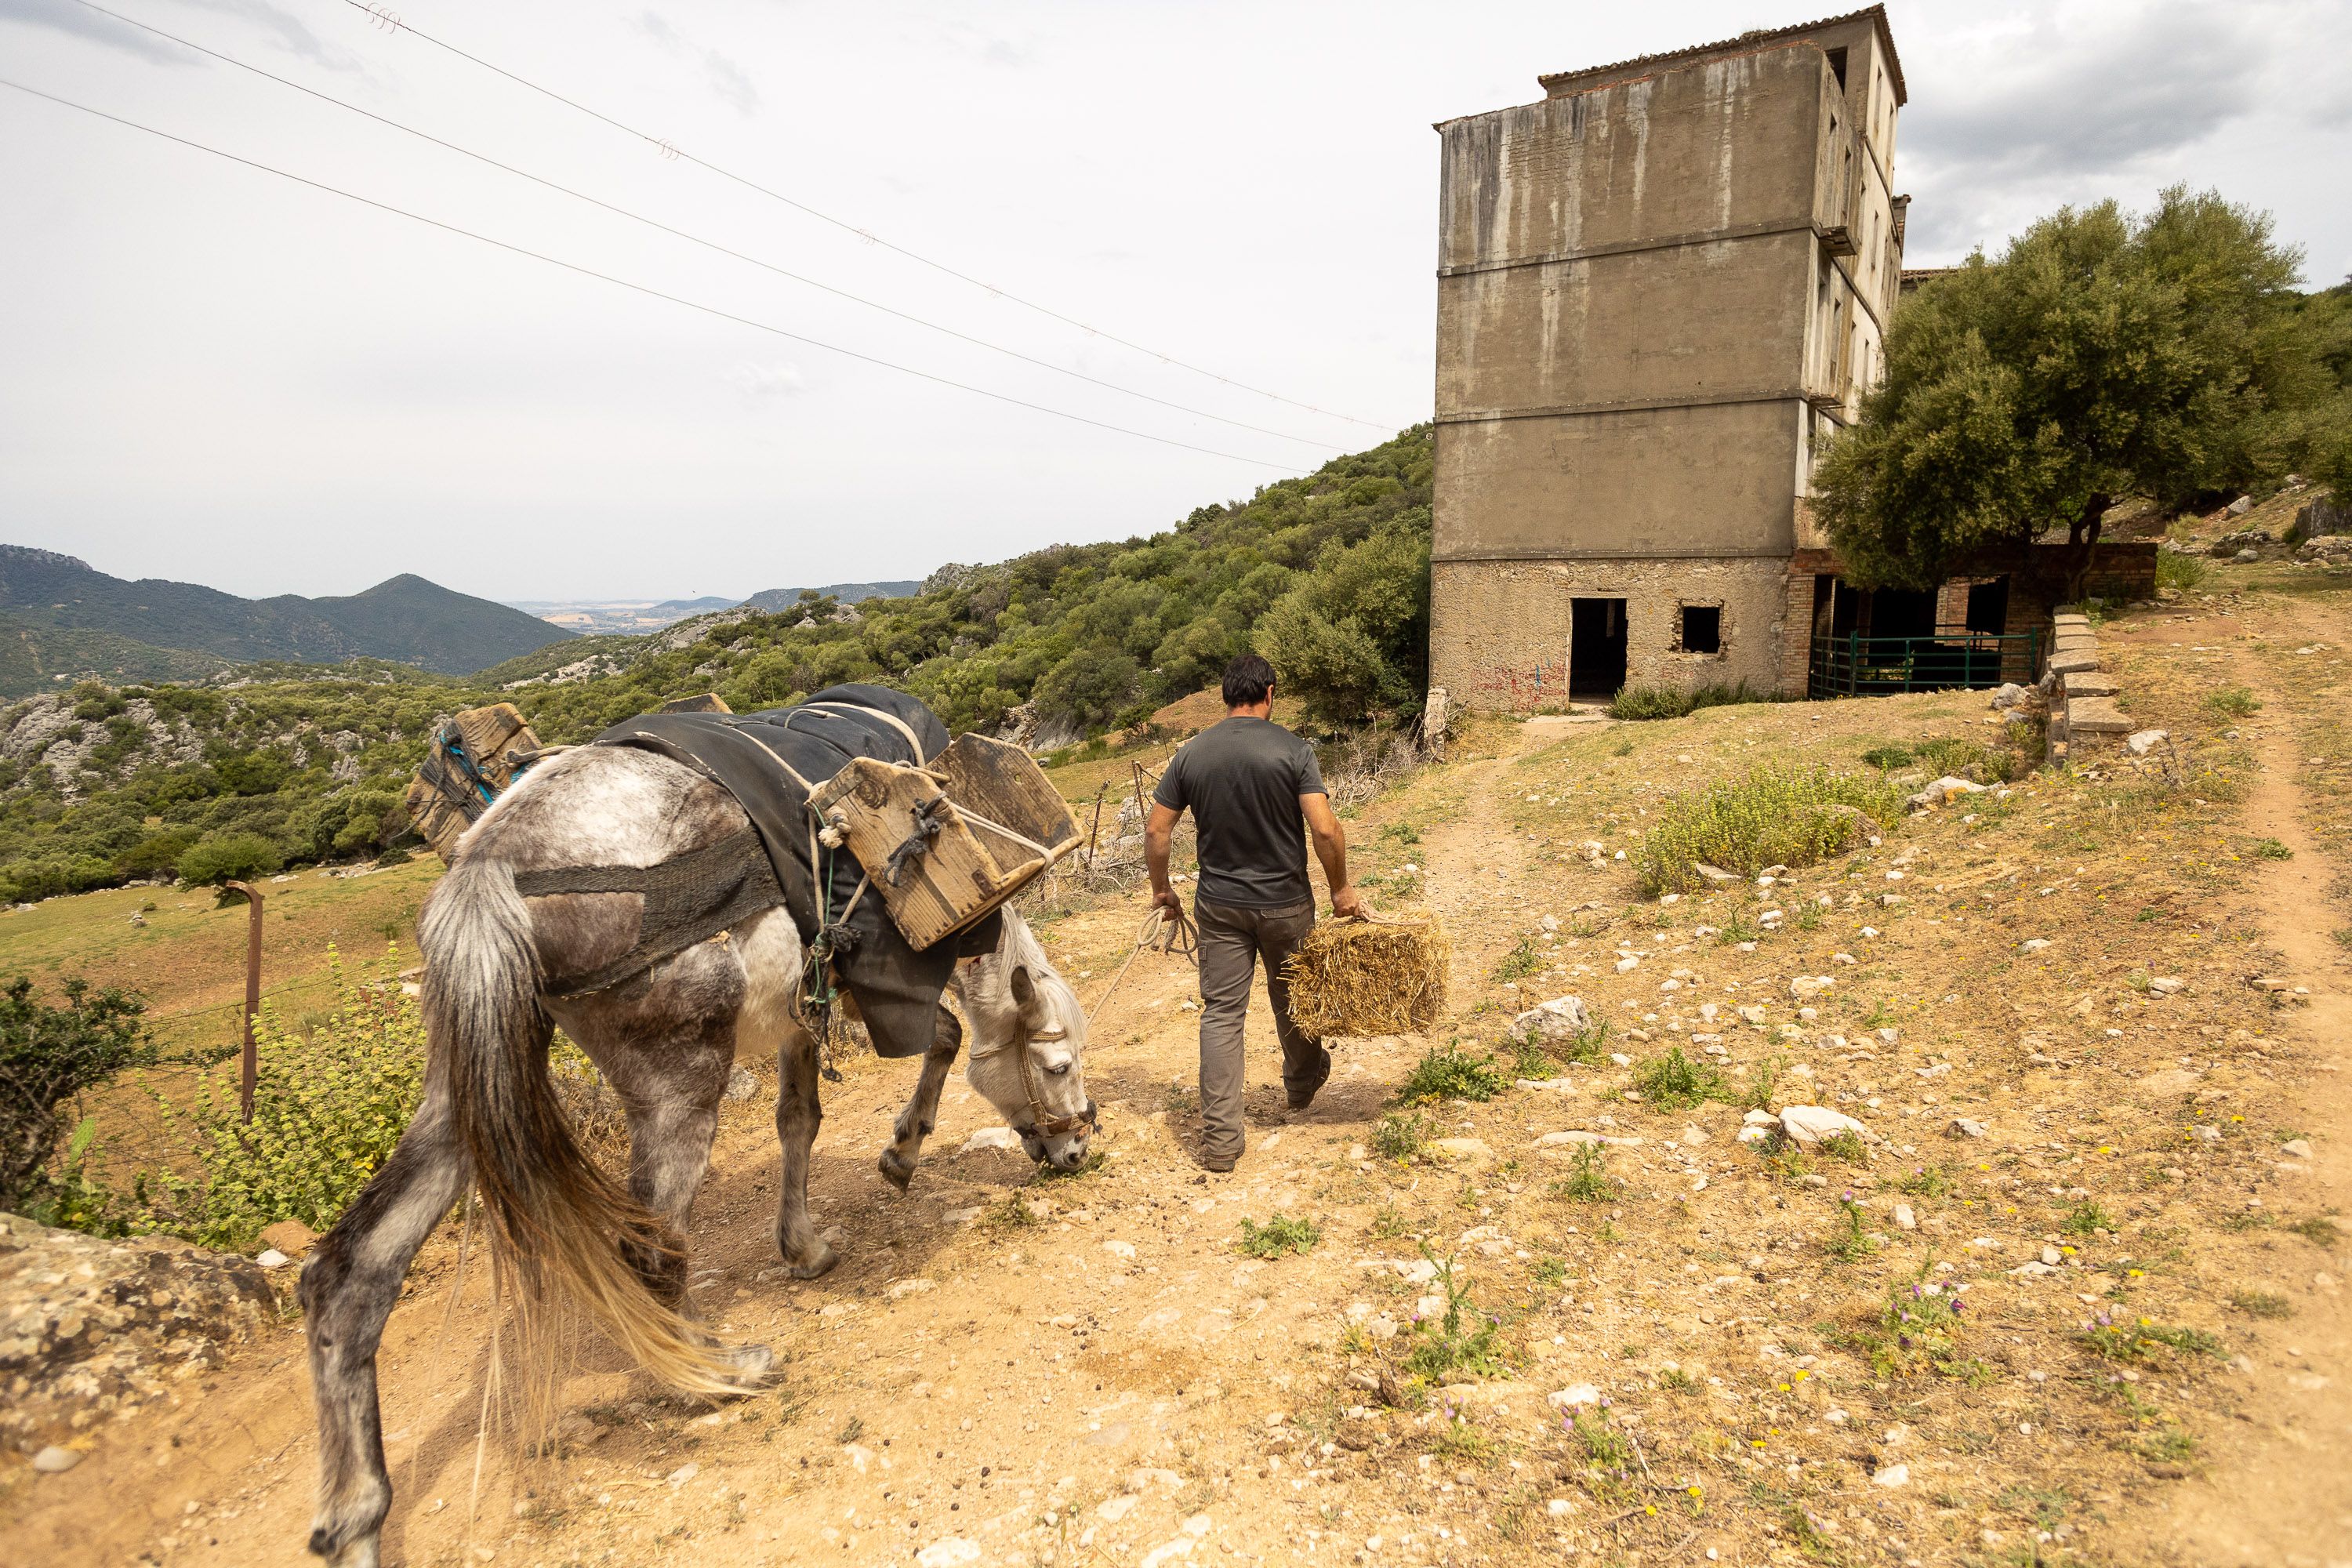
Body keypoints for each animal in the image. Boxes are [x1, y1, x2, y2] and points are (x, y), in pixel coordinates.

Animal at [294, 747, 1091, 1568]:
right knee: (650, 1249)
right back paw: (717, 1373)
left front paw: (803, 1245)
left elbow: (799, 1118)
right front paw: (901, 1153)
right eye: (1059, 1065)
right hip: (681, 1076)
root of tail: (487, 868)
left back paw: (355, 1520)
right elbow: (946, 1036)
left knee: (350, 1273)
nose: (1075, 1149)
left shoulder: (800, 1007)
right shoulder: (880, 985)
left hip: (467, 1085)